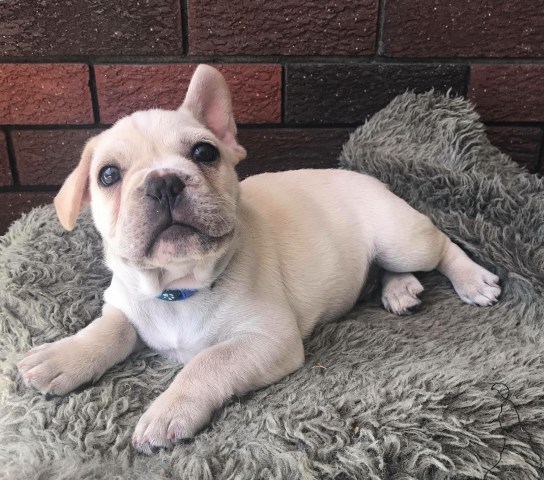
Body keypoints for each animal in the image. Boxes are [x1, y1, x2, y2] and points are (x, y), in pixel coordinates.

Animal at [17, 64, 502, 454]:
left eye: (204, 152)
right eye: (107, 175)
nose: (164, 181)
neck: (178, 286)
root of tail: (371, 179)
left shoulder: (268, 339)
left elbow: (207, 361)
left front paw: (168, 410)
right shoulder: (126, 304)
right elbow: (108, 330)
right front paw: (60, 357)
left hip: (400, 237)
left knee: (441, 245)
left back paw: (472, 279)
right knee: (389, 270)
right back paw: (400, 289)